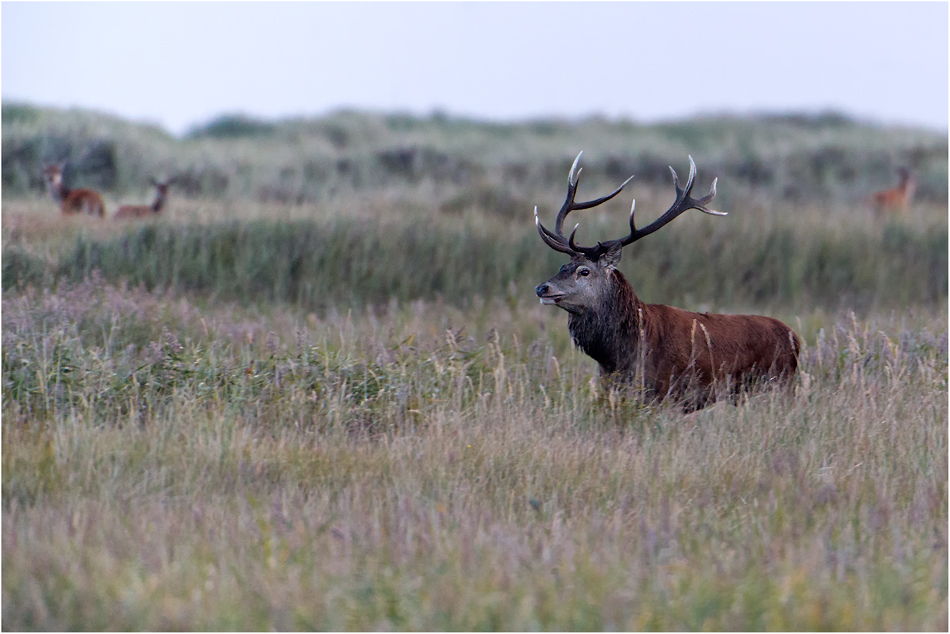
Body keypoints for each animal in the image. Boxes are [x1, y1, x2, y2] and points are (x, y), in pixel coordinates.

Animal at [540, 152, 800, 410]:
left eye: (584, 271)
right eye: (562, 267)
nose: (542, 287)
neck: (618, 357)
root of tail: (796, 340)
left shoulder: (666, 393)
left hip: (778, 383)